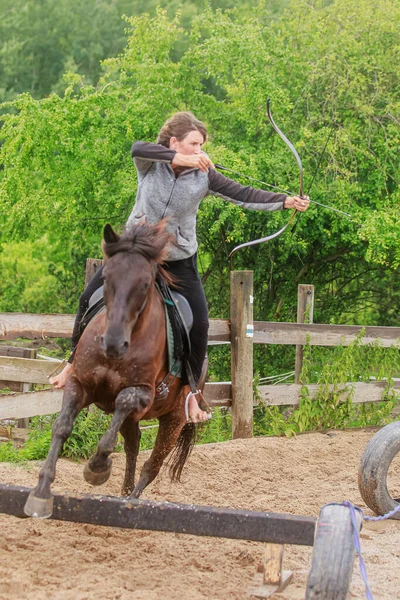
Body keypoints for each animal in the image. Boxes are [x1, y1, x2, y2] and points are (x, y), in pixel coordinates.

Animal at [24, 223, 197, 516]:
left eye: (145, 284)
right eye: (106, 278)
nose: (114, 343)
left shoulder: (140, 394)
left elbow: (119, 412)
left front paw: (97, 468)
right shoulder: (79, 384)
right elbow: (61, 427)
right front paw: (41, 493)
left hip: (173, 420)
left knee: (152, 465)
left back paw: (131, 501)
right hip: (135, 420)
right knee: (133, 444)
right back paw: (124, 494)